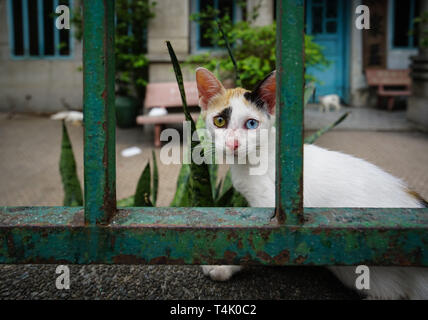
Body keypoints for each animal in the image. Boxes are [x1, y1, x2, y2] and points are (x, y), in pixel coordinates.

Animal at [195, 67, 428, 300]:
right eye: (219, 121)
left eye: (251, 124)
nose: (232, 144)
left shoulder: (273, 213)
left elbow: (253, 242)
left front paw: (223, 266)